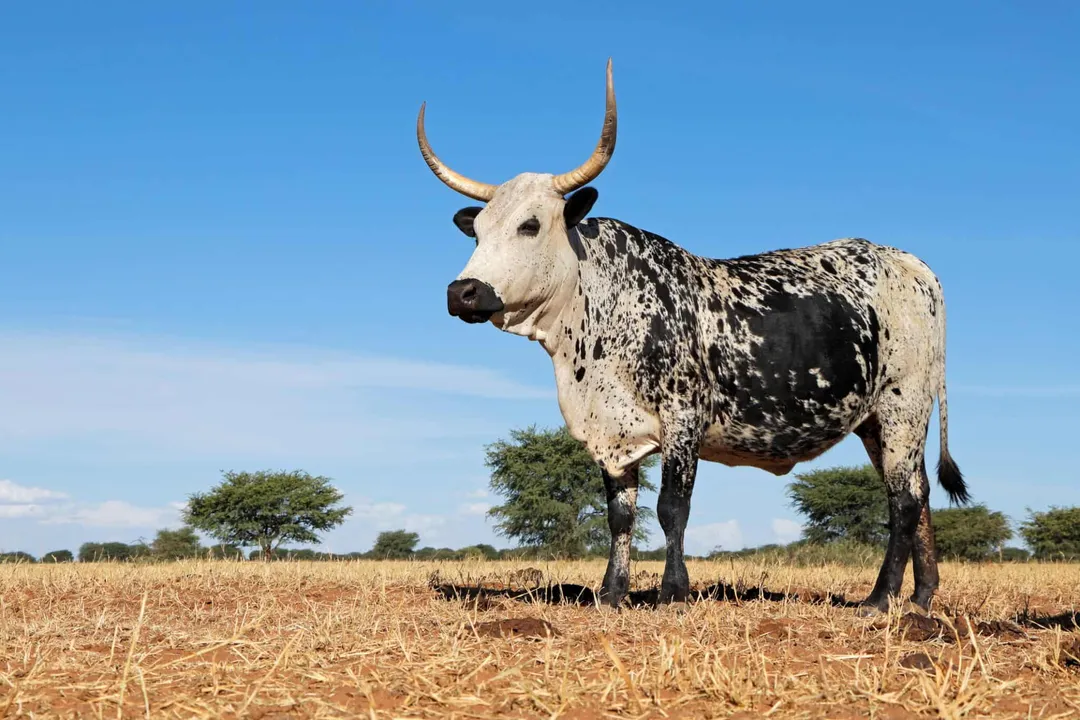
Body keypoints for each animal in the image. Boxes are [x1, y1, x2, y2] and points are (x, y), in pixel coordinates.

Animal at [417, 59, 968, 612]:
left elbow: (671, 509)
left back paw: (881, 598)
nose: (462, 292)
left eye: (530, 225)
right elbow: (621, 516)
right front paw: (611, 593)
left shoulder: (683, 421)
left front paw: (673, 593)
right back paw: (922, 596)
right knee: (919, 496)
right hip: (877, 423)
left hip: (902, 407)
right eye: (478, 230)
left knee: (903, 500)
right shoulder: (611, 433)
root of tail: (909, 262)